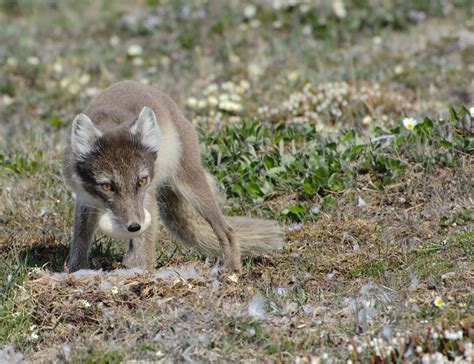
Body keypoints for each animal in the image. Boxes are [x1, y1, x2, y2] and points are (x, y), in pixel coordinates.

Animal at [64, 80, 284, 272]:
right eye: (107, 186)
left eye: (141, 181)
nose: (134, 226)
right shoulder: (85, 199)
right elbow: (80, 239)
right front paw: (76, 270)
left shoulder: (147, 196)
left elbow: (145, 242)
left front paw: (142, 271)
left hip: (191, 184)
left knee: (227, 230)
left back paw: (231, 268)